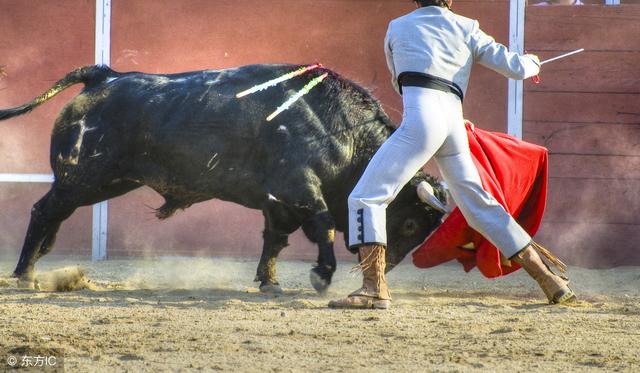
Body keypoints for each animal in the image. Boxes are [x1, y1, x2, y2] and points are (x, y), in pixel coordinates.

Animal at [0, 63, 444, 290]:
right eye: (408, 223)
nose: (386, 269)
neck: (339, 128)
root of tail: (104, 76)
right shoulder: (298, 188)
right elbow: (322, 226)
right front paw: (321, 275)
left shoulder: (277, 202)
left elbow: (274, 240)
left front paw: (269, 282)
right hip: (83, 178)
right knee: (43, 211)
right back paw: (24, 274)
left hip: (103, 182)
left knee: (55, 215)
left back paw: (38, 266)